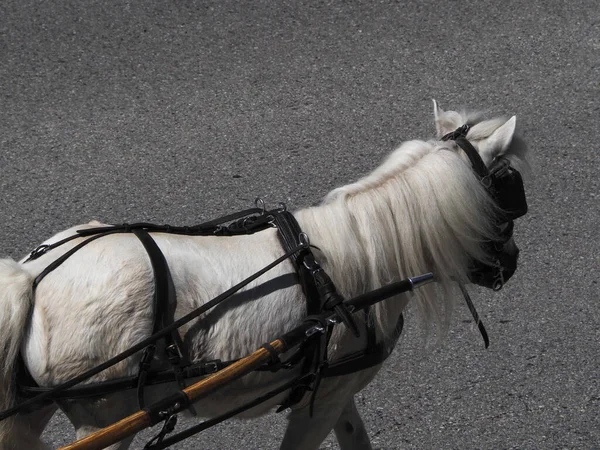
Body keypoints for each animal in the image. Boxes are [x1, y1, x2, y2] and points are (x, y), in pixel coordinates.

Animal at [0, 103, 524, 450]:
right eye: (508, 186)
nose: (513, 261)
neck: (365, 257)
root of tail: (33, 274)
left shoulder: (332, 391)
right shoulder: (325, 397)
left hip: (35, 409)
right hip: (107, 419)